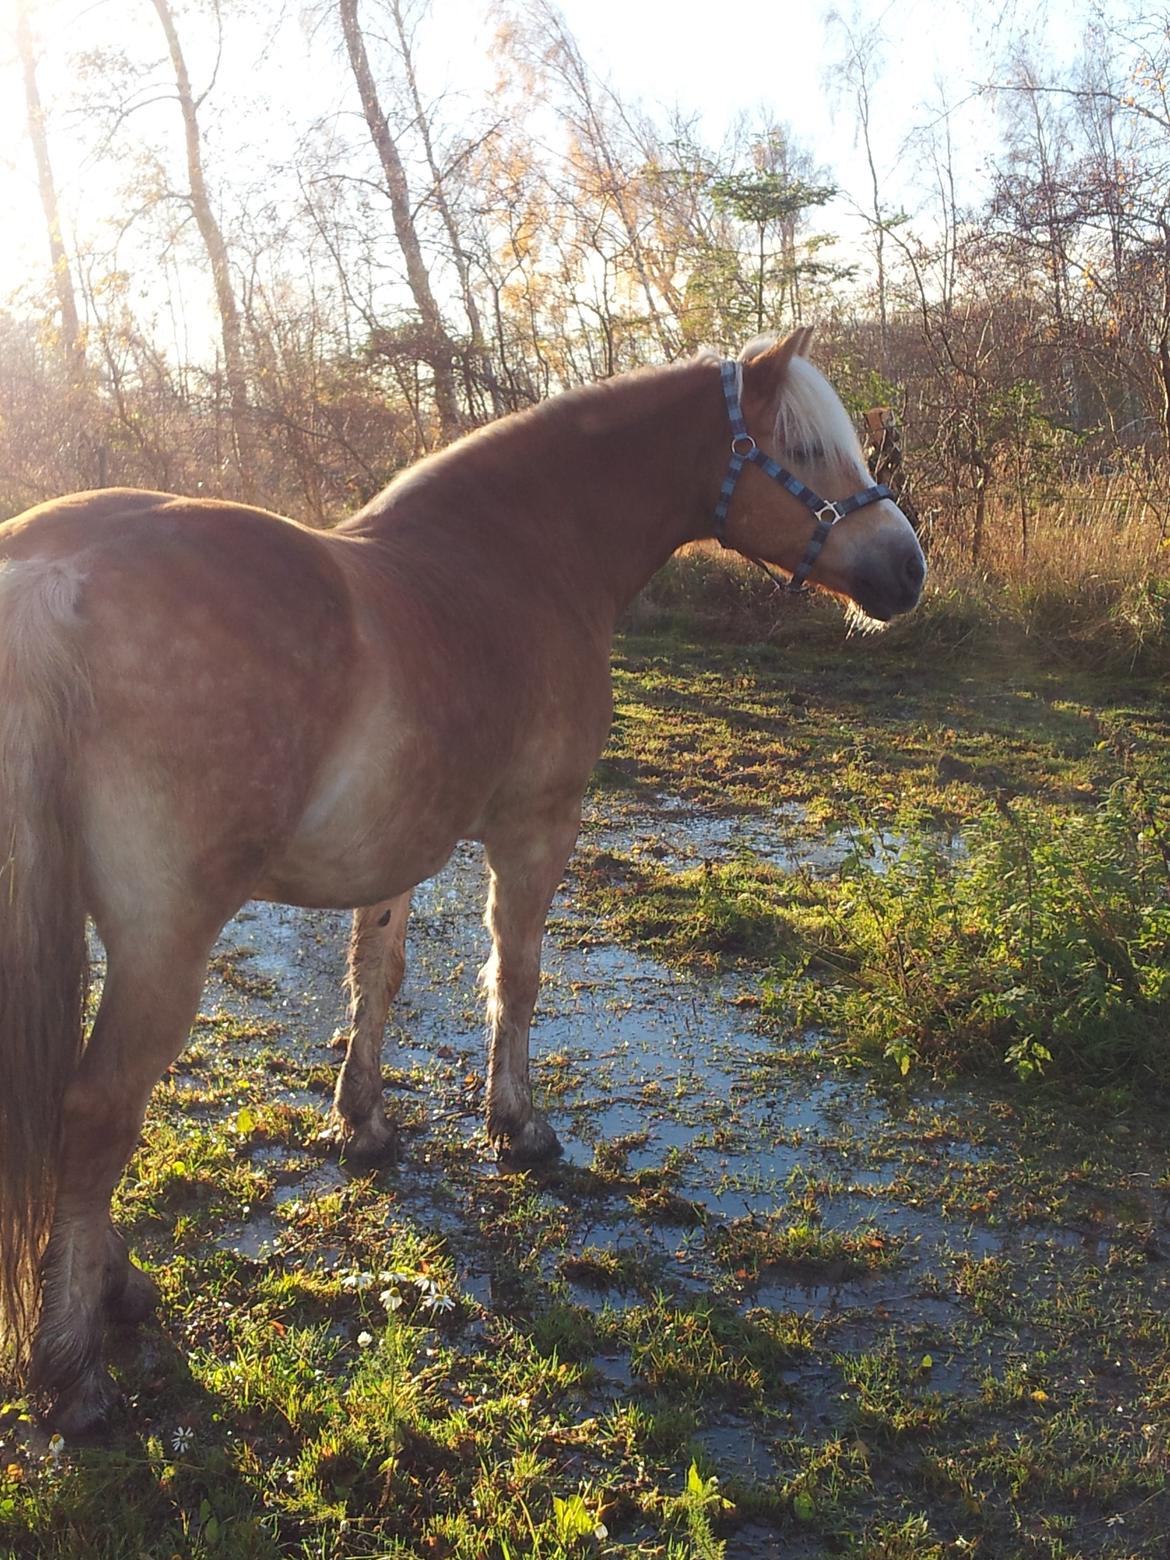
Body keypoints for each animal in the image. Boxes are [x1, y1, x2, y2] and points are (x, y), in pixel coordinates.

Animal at [0, 329, 923, 1435]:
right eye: (808, 449)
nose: (908, 569)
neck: (513, 562)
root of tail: (52, 577)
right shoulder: (537, 825)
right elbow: (514, 979)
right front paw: (517, 1127)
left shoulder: (396, 848)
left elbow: (376, 978)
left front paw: (362, 1125)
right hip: (163, 936)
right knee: (97, 1112)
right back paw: (77, 1365)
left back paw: (116, 1290)